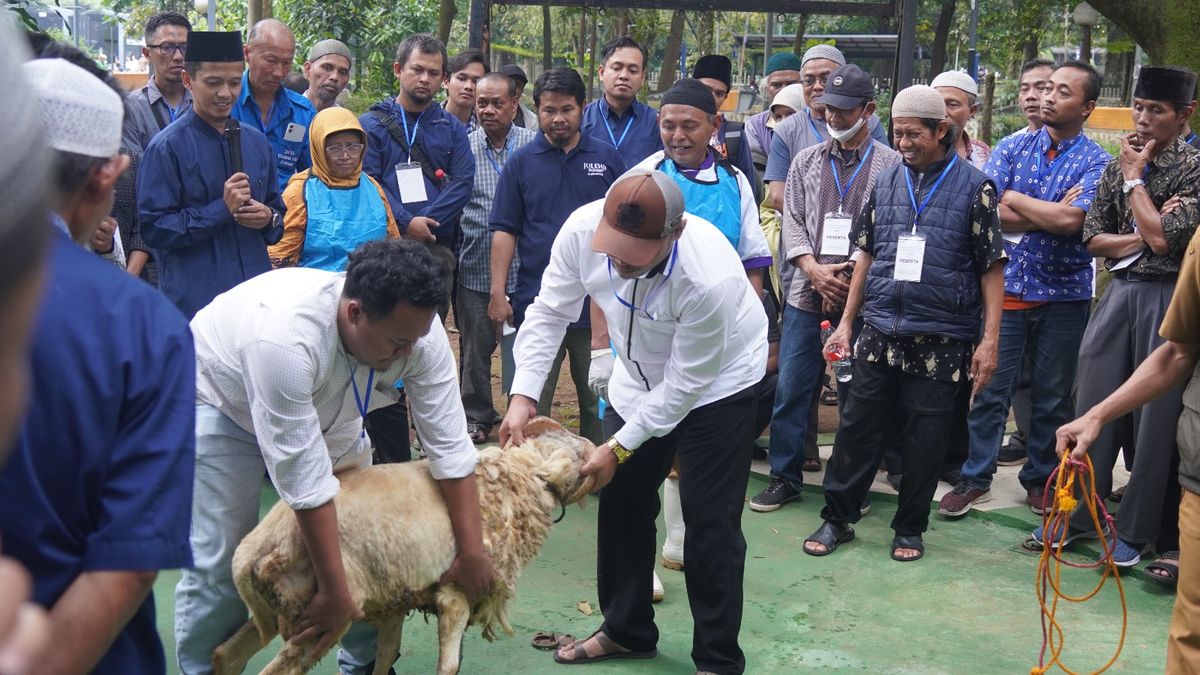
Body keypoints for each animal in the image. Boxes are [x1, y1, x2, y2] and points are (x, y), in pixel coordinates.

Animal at [213, 415, 597, 672]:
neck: (520, 479)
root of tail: (254, 550)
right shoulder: (455, 593)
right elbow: (449, 666)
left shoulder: (393, 604)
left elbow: (385, 655)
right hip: (323, 614)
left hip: (282, 609)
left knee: (225, 655)